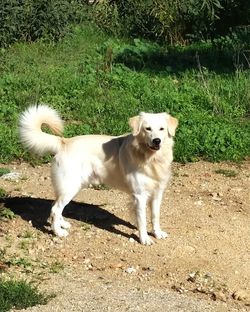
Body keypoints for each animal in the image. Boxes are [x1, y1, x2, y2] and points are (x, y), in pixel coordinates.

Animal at [19, 105, 179, 244]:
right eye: (147, 129)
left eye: (162, 129)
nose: (157, 140)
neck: (150, 159)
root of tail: (64, 142)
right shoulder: (139, 196)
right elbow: (142, 220)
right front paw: (144, 239)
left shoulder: (157, 193)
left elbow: (155, 216)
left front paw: (157, 233)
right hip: (70, 187)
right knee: (55, 208)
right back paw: (58, 232)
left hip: (70, 187)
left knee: (55, 206)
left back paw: (62, 224)